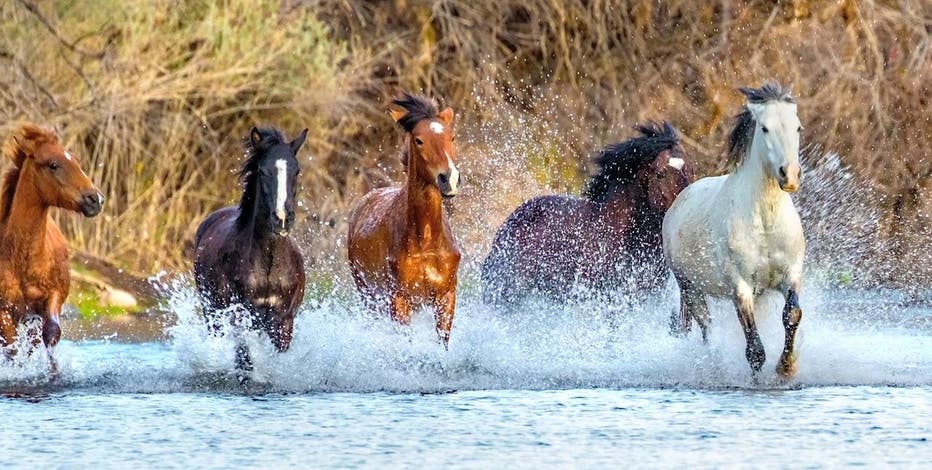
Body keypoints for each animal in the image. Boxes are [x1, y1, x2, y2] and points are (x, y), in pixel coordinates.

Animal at [0, 123, 104, 374]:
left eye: (76, 160)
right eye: (53, 165)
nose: (95, 199)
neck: (23, 258)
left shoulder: (53, 296)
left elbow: (51, 333)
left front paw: (53, 371)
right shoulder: (4, 310)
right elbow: (11, 346)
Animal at [194, 126, 308, 379]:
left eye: (296, 171)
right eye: (263, 171)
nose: (282, 219)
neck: (268, 265)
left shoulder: (283, 320)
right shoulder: (240, 315)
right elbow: (244, 360)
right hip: (212, 311)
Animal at [347, 92, 461, 345]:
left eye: (452, 137)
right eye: (419, 140)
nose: (449, 179)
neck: (427, 240)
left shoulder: (446, 296)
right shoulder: (399, 299)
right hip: (368, 295)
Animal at [662, 83, 805, 379]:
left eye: (797, 127)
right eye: (765, 128)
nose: (789, 175)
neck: (766, 221)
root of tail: (679, 201)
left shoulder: (791, 274)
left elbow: (792, 314)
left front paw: (786, 367)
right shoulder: (740, 286)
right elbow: (754, 348)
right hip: (690, 288)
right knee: (707, 327)